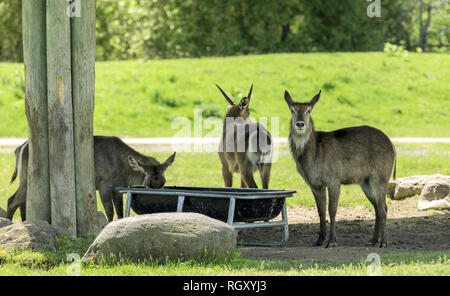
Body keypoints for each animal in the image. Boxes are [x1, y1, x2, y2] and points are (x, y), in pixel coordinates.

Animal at [284, 89, 396, 247]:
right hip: (366, 183)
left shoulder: (334, 181)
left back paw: (383, 242)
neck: (315, 152)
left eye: (308, 110)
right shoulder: (315, 185)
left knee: (384, 208)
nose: (300, 124)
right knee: (377, 208)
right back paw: (373, 240)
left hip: (380, 179)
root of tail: (392, 144)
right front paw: (319, 240)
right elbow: (320, 211)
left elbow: (332, 210)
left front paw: (331, 241)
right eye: (292, 110)